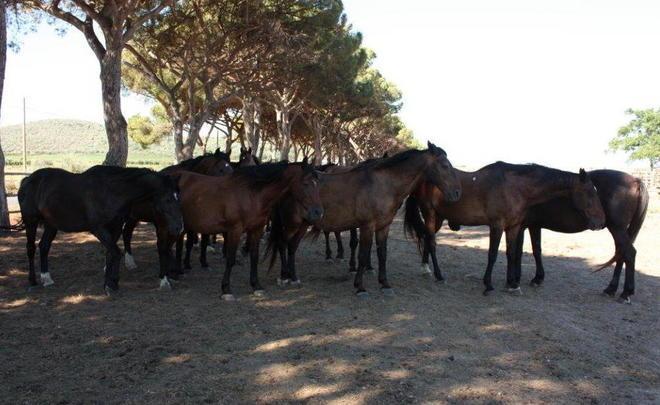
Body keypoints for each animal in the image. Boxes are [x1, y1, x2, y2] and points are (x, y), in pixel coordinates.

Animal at [14, 166, 183, 294]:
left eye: (178, 197)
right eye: (168, 199)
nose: (178, 227)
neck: (111, 191)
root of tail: (27, 180)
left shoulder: (115, 227)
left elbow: (111, 253)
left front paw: (112, 282)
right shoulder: (99, 229)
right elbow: (115, 253)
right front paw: (110, 284)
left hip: (51, 225)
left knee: (44, 247)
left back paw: (47, 279)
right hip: (31, 222)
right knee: (31, 248)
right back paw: (33, 281)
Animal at [174, 159, 323, 300]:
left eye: (317, 183)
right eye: (305, 183)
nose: (318, 212)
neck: (251, 195)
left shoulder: (256, 229)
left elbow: (254, 257)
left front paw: (256, 286)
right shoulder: (235, 230)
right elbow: (231, 259)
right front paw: (226, 290)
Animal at [267, 142, 461, 296]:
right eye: (445, 165)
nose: (457, 193)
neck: (383, 185)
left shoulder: (383, 227)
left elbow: (382, 254)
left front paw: (385, 284)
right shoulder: (367, 226)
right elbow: (362, 254)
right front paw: (360, 287)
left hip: (303, 223)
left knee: (292, 246)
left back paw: (293, 277)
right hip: (292, 223)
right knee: (282, 243)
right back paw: (284, 277)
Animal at [404, 163, 606, 296]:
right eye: (590, 192)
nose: (602, 222)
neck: (515, 188)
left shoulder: (514, 227)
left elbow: (511, 253)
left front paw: (512, 284)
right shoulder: (497, 225)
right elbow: (493, 254)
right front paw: (488, 284)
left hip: (438, 218)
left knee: (427, 239)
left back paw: (426, 268)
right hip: (430, 214)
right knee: (431, 241)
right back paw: (438, 275)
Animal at [514, 169, 648, 303]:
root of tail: (636, 181)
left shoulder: (520, 226)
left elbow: (518, 252)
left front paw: (516, 280)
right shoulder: (534, 225)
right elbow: (536, 250)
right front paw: (538, 278)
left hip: (617, 229)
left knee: (629, 253)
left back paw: (626, 293)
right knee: (621, 254)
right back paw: (610, 289)